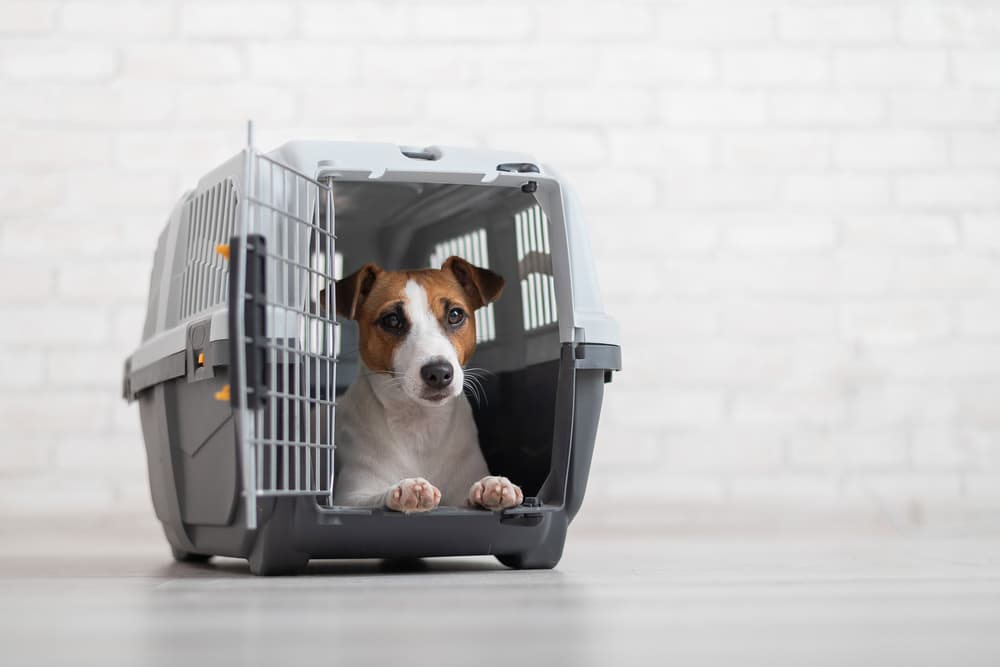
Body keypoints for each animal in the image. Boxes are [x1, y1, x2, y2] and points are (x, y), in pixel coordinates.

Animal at [334, 258, 528, 516]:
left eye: (455, 315)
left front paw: (493, 484)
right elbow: (374, 498)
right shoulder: (349, 497)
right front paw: (406, 488)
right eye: (392, 320)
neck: (421, 424)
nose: (438, 372)